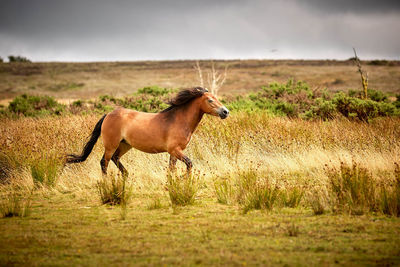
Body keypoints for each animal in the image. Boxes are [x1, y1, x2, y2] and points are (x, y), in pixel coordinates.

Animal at [65, 87, 228, 177]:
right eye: (210, 100)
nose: (226, 112)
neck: (178, 120)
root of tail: (108, 114)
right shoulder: (175, 150)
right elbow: (189, 163)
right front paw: (183, 179)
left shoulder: (174, 152)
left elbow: (172, 169)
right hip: (111, 145)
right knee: (104, 162)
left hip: (125, 145)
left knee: (115, 159)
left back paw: (126, 176)